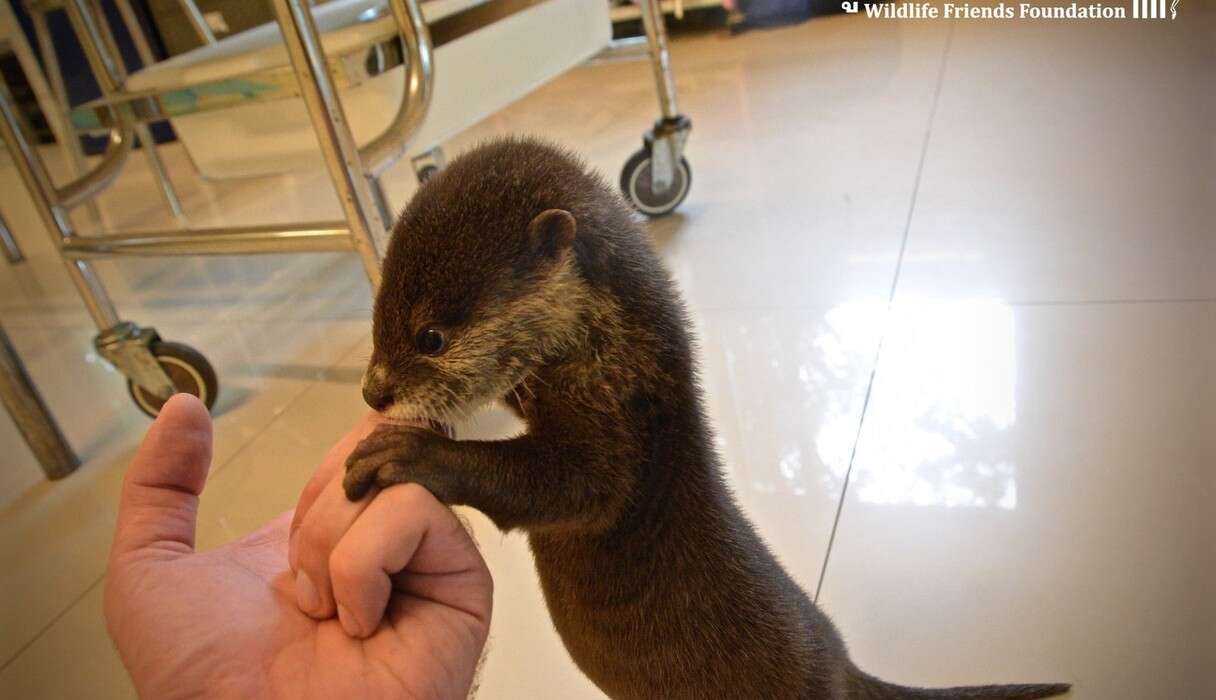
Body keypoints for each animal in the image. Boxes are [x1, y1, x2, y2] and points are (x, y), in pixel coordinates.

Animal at [347, 137, 1070, 700]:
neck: (618, 355)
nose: (372, 391)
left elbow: (569, 487)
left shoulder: (621, 431)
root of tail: (843, 663)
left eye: (431, 336)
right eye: (378, 314)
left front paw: (406, 454)